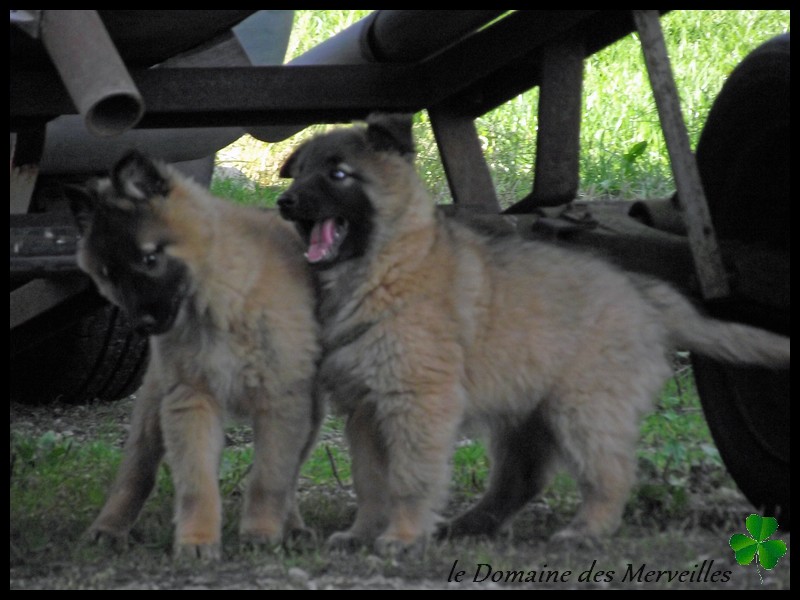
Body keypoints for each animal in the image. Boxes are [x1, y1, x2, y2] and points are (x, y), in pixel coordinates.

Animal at [69, 152, 322, 560]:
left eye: (149, 258)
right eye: (108, 274)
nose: (140, 326)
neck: (219, 304)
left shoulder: (282, 402)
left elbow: (269, 479)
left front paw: (261, 534)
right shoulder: (191, 399)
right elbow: (196, 483)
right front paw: (198, 541)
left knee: (289, 475)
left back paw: (293, 527)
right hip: (154, 404)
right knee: (136, 471)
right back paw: (108, 527)